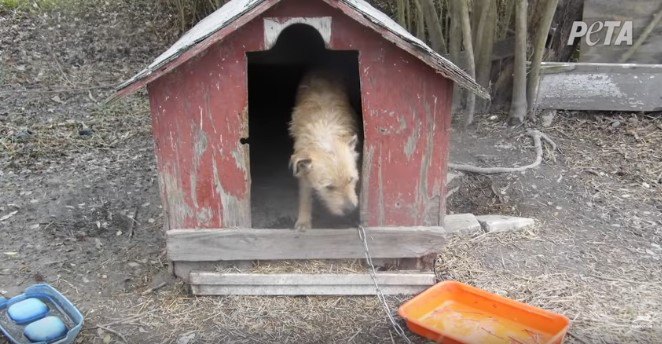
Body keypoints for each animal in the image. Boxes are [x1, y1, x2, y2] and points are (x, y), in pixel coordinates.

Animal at [288, 70, 360, 231]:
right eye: (329, 187)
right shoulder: (303, 168)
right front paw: (303, 220)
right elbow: (304, 194)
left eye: (351, 179)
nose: (350, 210)